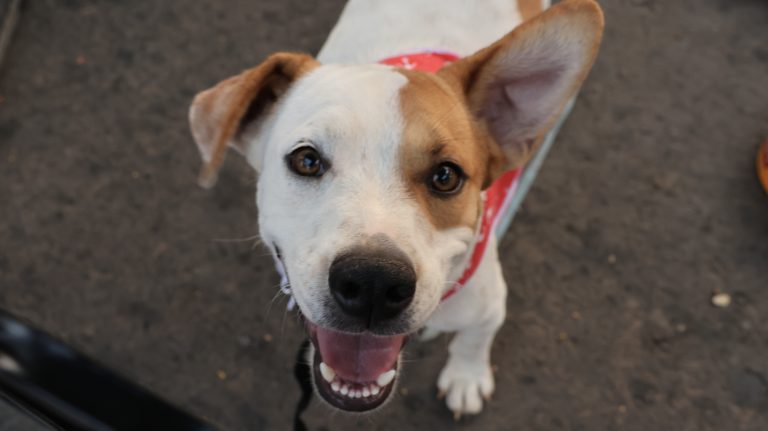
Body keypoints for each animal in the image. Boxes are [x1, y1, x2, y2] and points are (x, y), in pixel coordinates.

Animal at [188, 0, 603, 418]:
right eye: (306, 160)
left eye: (445, 176)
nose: (373, 282)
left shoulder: (488, 303)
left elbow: (476, 338)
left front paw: (467, 377)